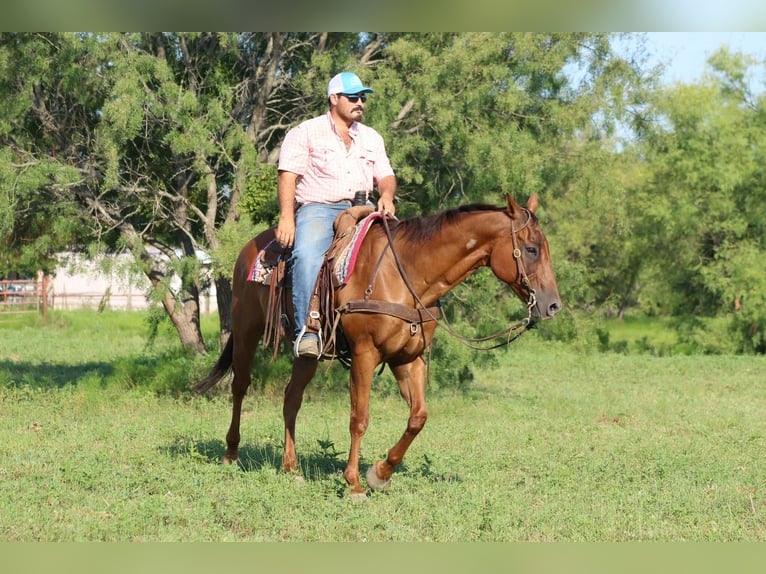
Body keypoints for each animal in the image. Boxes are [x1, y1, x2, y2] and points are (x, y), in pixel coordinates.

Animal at [193, 193, 561, 498]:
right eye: (531, 249)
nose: (553, 306)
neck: (406, 275)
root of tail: (250, 248)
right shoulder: (364, 353)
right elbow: (360, 417)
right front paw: (354, 483)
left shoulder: (408, 358)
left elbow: (418, 417)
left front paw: (380, 473)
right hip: (246, 328)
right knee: (240, 385)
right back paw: (231, 454)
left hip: (307, 352)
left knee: (291, 399)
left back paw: (291, 467)